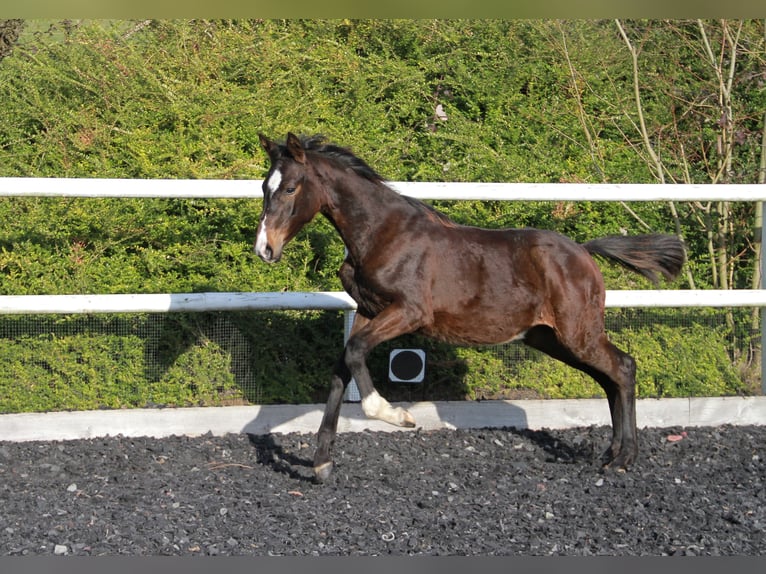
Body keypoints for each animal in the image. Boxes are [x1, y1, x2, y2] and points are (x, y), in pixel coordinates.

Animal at [255, 133, 688, 484]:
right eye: (264, 186)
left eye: (291, 188)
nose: (265, 249)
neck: (382, 233)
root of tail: (584, 252)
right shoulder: (367, 310)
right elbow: (341, 368)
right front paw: (322, 464)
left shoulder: (410, 312)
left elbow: (356, 352)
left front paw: (397, 416)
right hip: (551, 338)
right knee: (609, 378)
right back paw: (610, 453)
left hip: (577, 333)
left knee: (624, 368)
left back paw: (624, 458)